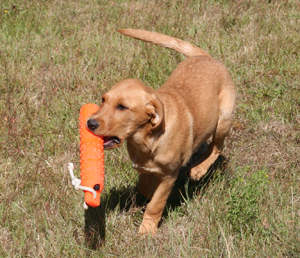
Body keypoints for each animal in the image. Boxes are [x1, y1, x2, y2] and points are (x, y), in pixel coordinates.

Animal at [86, 29, 234, 235]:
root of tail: (207, 58)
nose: (89, 123)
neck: (145, 139)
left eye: (122, 107)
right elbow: (145, 189)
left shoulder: (169, 176)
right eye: (103, 100)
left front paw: (147, 230)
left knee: (217, 147)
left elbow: (156, 203)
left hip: (223, 119)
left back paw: (198, 169)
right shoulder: (143, 168)